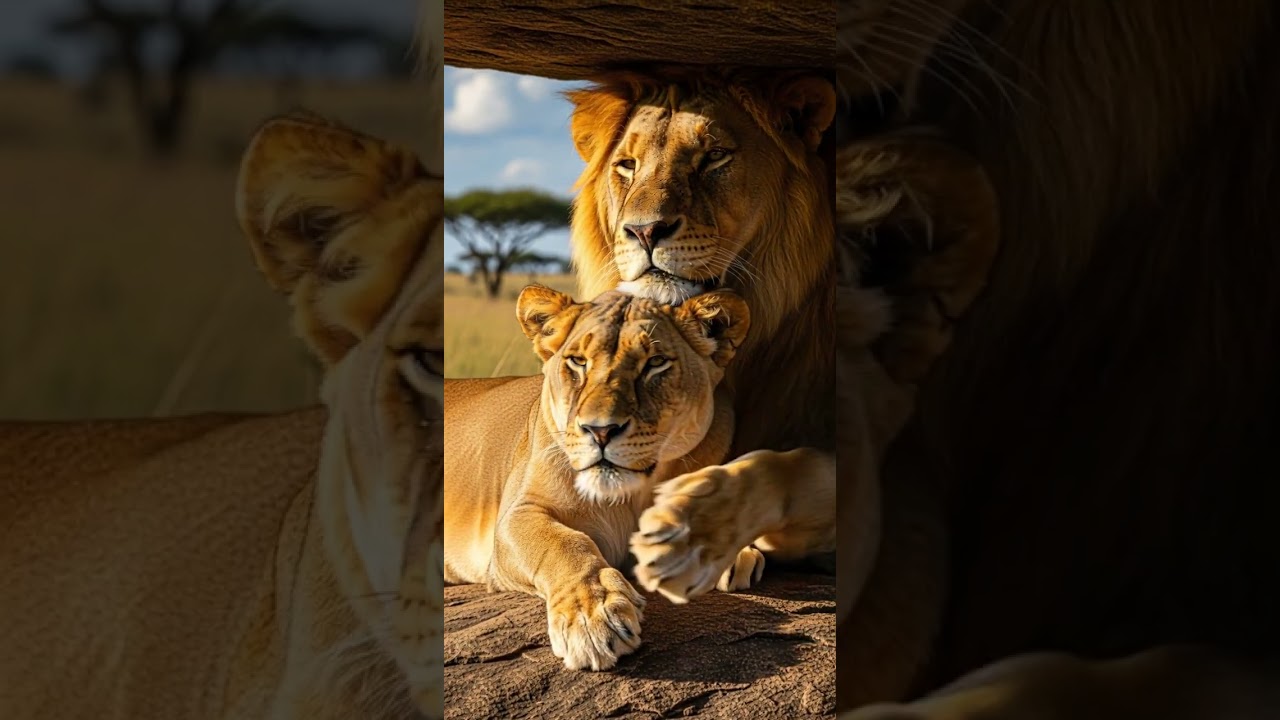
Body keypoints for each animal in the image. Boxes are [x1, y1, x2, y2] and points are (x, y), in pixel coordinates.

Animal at [443, 286, 751, 671]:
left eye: (655, 362)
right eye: (578, 362)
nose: (600, 431)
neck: (629, 496)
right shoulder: (517, 515)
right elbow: (564, 544)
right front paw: (592, 618)